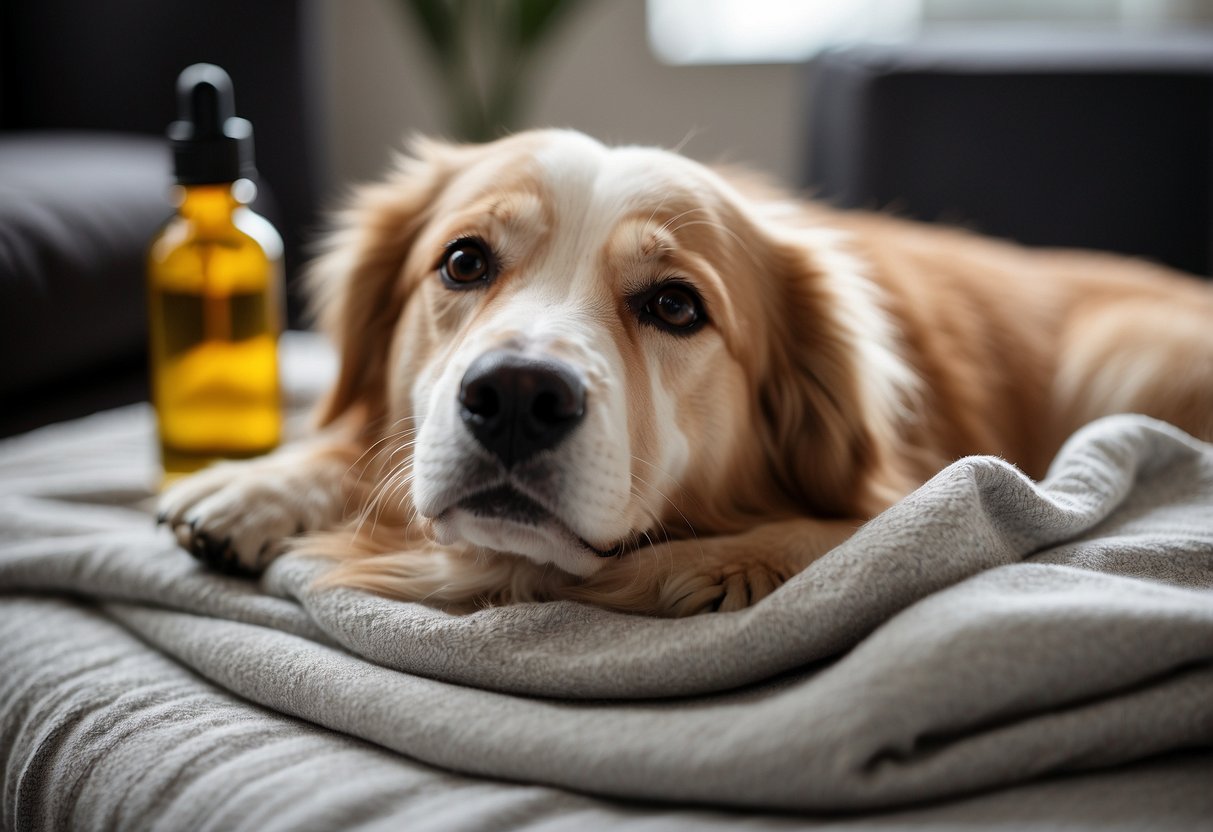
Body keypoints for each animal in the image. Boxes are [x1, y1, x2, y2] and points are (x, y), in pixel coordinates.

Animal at [158, 128, 1213, 613]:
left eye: (674, 306)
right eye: (462, 262)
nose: (515, 398)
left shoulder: (901, 497)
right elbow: (352, 443)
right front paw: (257, 485)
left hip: (1117, 359)